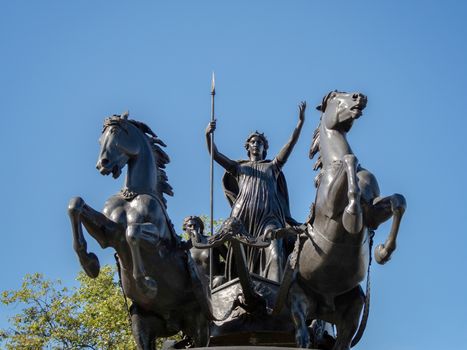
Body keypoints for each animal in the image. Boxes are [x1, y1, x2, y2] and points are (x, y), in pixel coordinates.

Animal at [67, 113, 210, 348]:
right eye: (100, 140)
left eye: (115, 132)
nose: (102, 164)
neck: (132, 195)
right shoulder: (109, 233)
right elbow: (75, 204)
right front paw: (90, 263)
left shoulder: (157, 239)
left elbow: (132, 232)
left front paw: (147, 285)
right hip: (141, 324)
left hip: (198, 323)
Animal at [288, 92, 408, 350]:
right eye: (335, 96)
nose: (359, 96)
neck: (333, 162)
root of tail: (324, 305)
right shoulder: (331, 208)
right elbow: (350, 160)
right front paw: (352, 214)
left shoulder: (373, 213)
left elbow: (398, 202)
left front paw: (383, 252)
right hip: (299, 298)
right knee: (299, 323)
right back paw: (302, 336)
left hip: (352, 311)